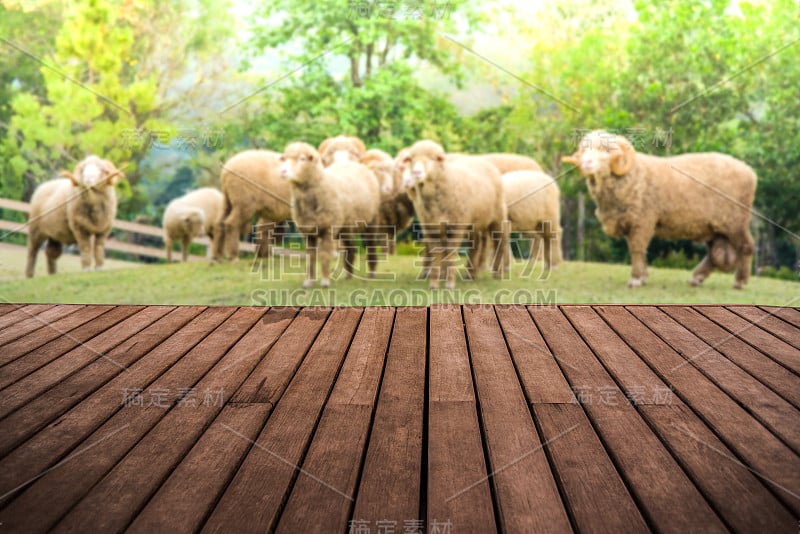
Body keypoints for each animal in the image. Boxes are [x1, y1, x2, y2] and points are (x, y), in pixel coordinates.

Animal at [280, 140, 382, 286]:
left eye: (302, 159)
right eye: (285, 158)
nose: (282, 171)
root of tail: (355, 164)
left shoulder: (328, 229)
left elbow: (324, 255)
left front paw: (325, 282)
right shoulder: (308, 232)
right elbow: (310, 257)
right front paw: (309, 282)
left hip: (372, 220)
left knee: (371, 244)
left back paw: (372, 272)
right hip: (346, 226)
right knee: (351, 247)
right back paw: (348, 275)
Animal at [404, 139, 510, 288]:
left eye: (432, 158)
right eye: (412, 159)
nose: (417, 172)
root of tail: (483, 161)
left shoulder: (456, 226)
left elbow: (450, 253)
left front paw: (449, 283)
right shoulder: (432, 227)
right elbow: (437, 253)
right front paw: (434, 284)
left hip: (498, 217)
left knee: (499, 243)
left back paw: (497, 274)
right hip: (474, 221)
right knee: (476, 245)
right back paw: (471, 274)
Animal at [564, 130, 756, 288]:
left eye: (606, 150)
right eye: (583, 150)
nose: (587, 162)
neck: (632, 175)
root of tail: (750, 172)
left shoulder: (642, 220)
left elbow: (637, 249)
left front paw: (636, 279)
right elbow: (639, 251)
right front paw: (643, 277)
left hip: (735, 221)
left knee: (746, 246)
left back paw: (740, 281)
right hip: (716, 227)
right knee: (715, 254)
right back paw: (697, 278)